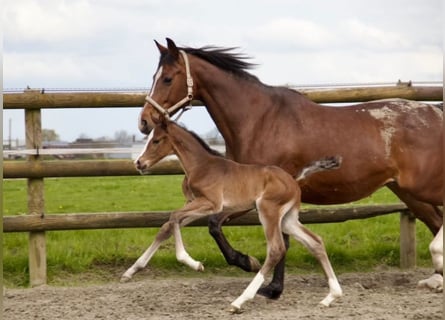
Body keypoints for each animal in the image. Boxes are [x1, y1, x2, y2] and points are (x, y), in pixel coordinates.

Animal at [121, 117, 344, 312]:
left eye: (156, 140)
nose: (139, 163)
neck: (202, 166)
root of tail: (293, 180)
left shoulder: (211, 204)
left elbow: (174, 217)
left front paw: (193, 263)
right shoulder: (197, 205)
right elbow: (167, 226)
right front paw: (131, 271)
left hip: (268, 211)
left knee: (276, 249)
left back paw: (240, 301)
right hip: (287, 219)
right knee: (315, 241)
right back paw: (331, 296)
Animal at [137, 38, 442, 298]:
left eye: (167, 78)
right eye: (152, 77)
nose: (144, 121)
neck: (260, 120)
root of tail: (435, 113)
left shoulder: (263, 198)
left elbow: (265, 237)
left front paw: (262, 277)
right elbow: (219, 226)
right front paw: (261, 275)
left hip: (421, 188)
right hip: (408, 193)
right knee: (436, 221)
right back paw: (437, 278)